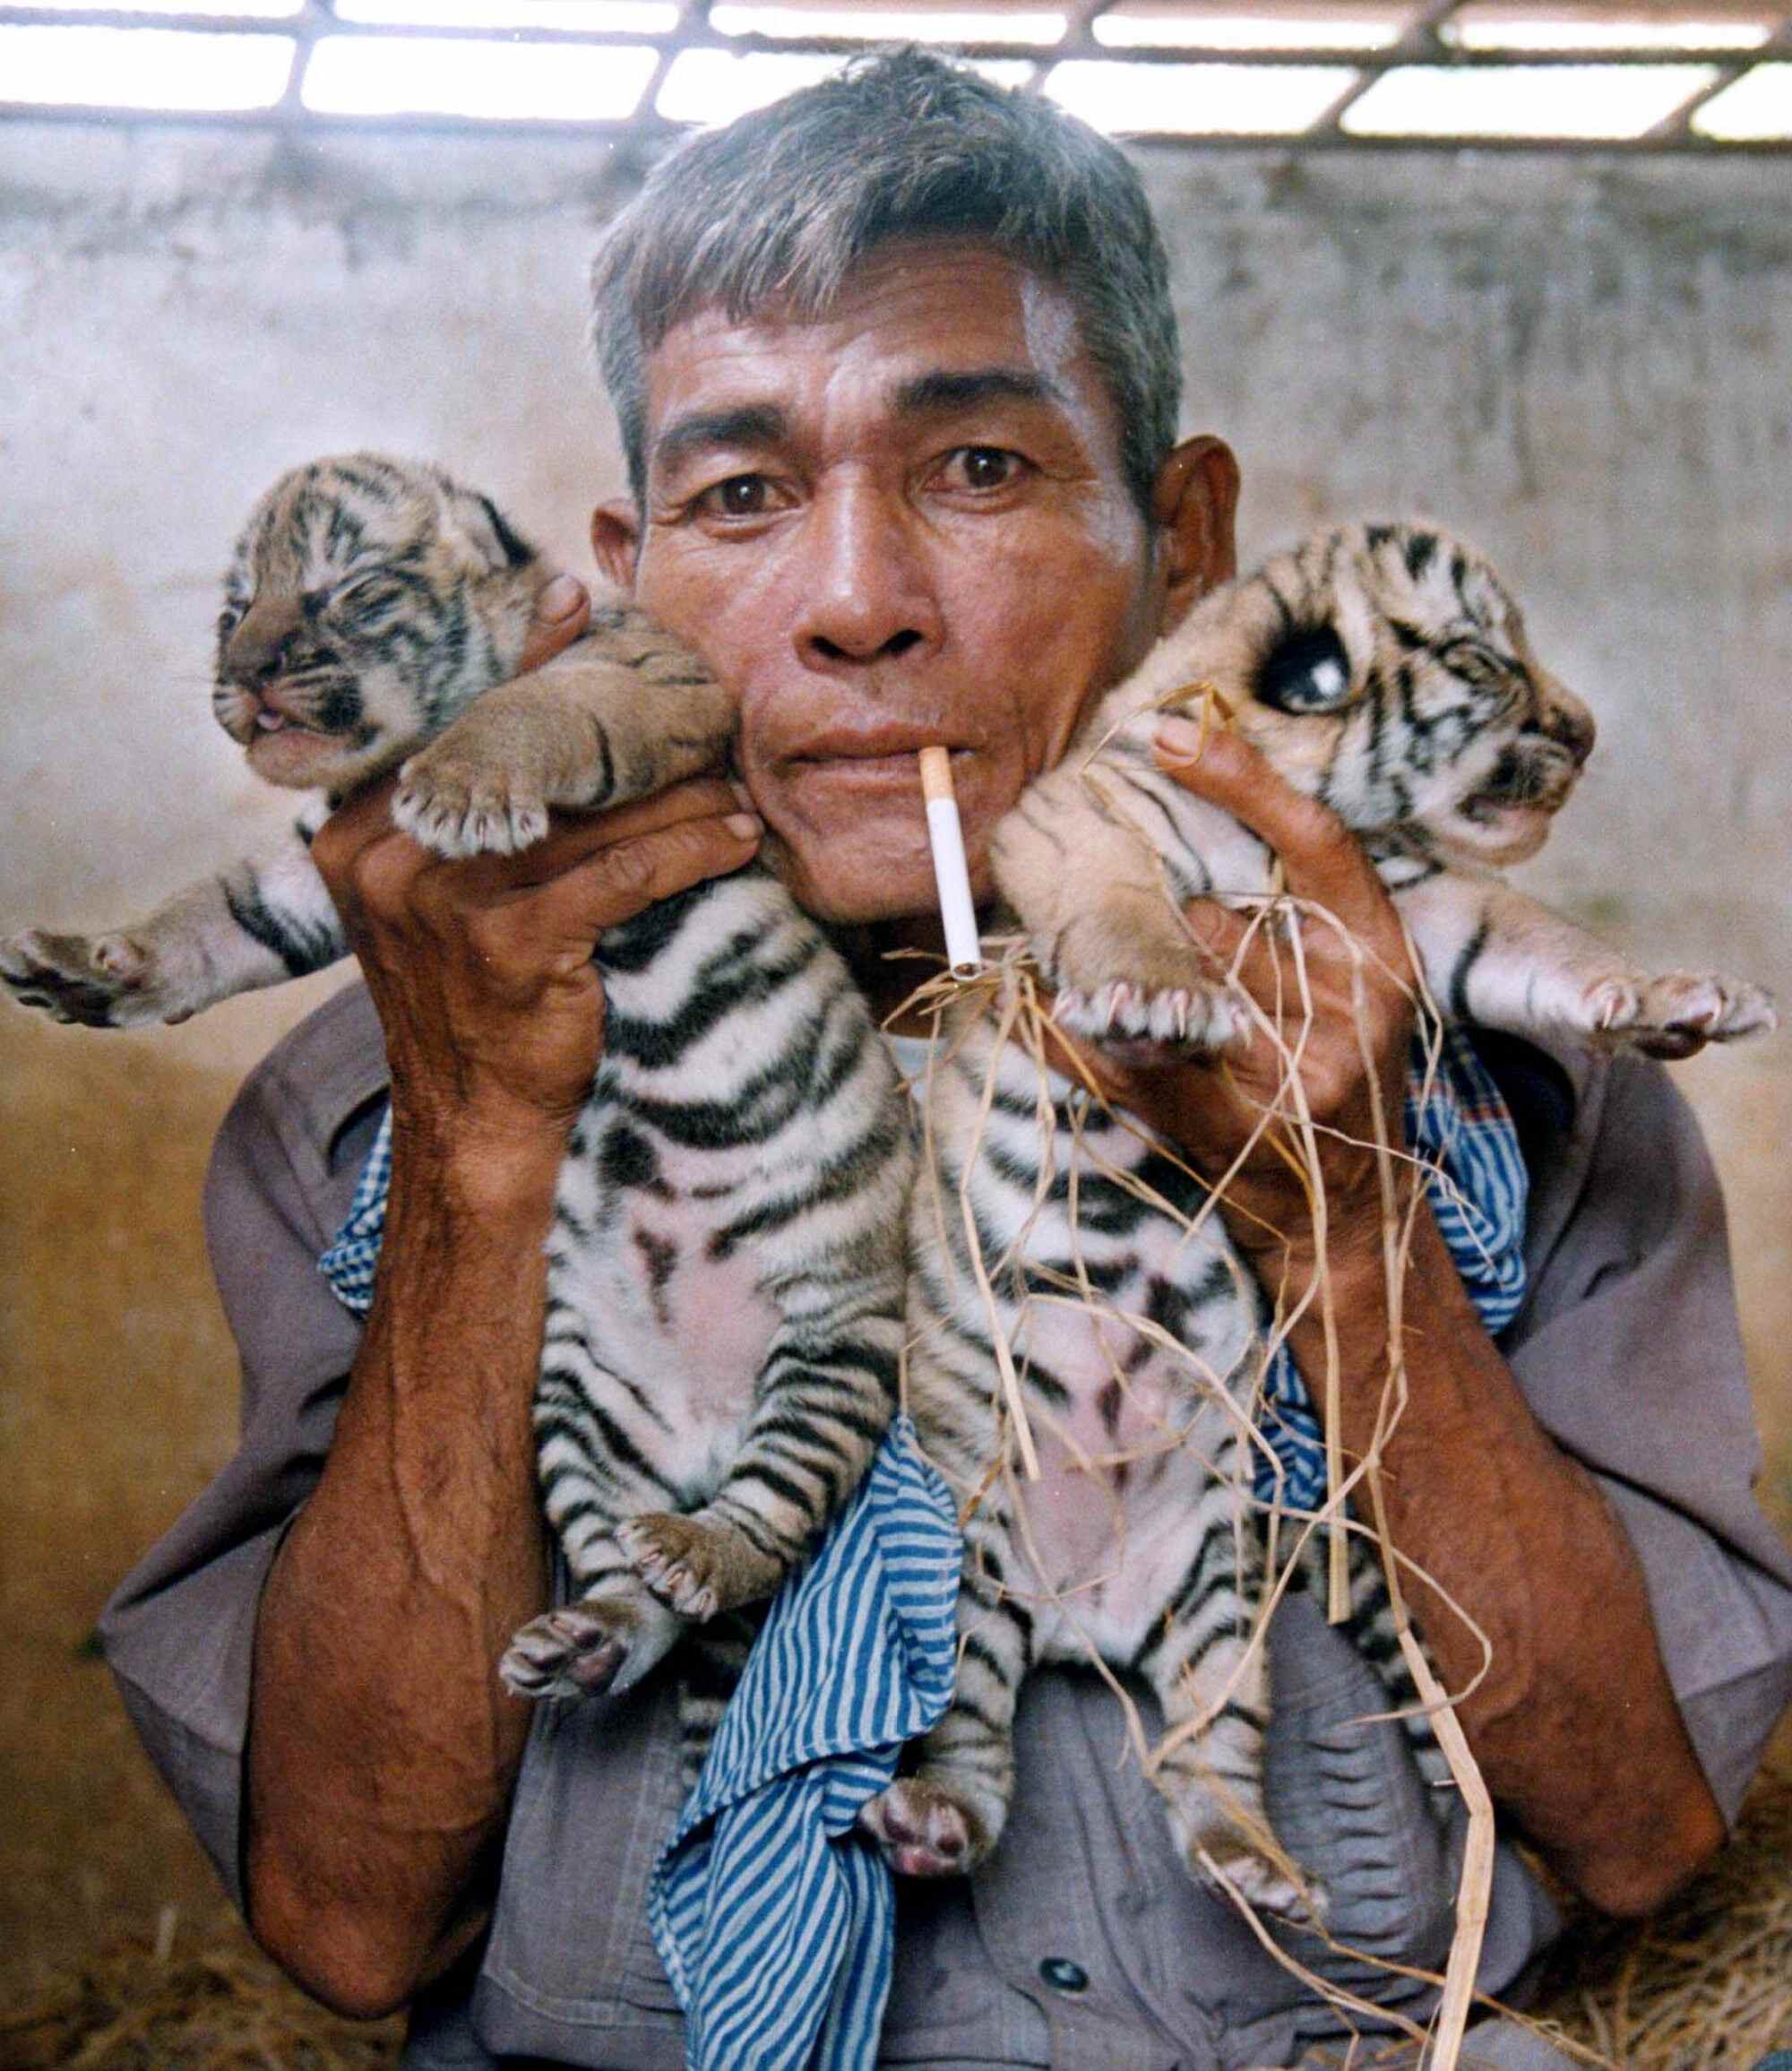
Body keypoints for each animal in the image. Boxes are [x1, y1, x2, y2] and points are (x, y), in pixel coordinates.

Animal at [0, 452, 912, 1774]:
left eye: (348, 591)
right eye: (235, 611)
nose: (251, 672)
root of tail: (701, 1442)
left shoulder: (650, 679)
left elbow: (541, 709)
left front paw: (463, 789)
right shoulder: (303, 867)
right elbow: (212, 915)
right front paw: (91, 967)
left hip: (830, 1359)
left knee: (761, 1522)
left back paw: (698, 1550)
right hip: (576, 1412)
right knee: (634, 1589)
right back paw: (584, 1636)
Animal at [854, 520, 1776, 1921]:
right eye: (1481, 661)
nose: (1587, 728)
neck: (1295, 821)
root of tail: (1081, 1618)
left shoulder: (1422, 911)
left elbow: (1542, 940)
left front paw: (1673, 994)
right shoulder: (1082, 817)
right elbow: (1122, 899)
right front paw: (1161, 992)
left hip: (1224, 1604)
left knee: (1208, 1749)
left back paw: (1260, 1863)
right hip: (963, 1569)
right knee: (966, 1729)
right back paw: (933, 1819)